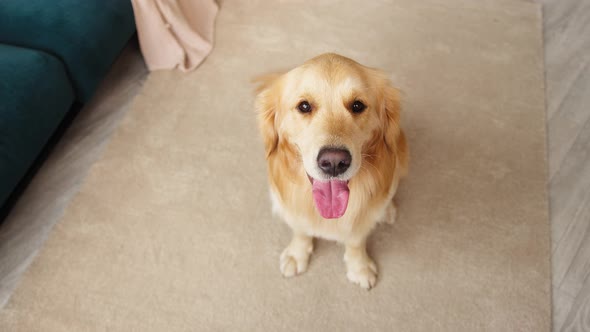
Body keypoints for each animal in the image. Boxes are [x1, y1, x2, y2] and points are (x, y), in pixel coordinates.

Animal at [256, 53, 410, 290]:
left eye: (357, 105)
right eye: (304, 106)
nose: (334, 162)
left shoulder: (361, 219)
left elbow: (356, 241)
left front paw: (359, 267)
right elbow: (300, 230)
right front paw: (297, 254)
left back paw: (388, 210)